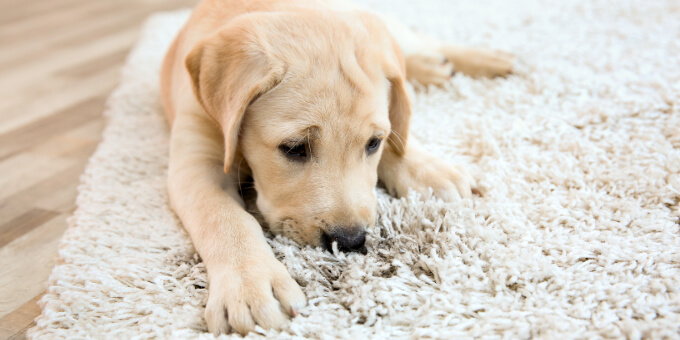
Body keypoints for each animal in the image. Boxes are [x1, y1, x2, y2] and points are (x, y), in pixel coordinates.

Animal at [158, 0, 510, 334]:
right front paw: (249, 285)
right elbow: (224, 218)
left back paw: (489, 59)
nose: (350, 241)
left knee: (413, 50)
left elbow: (399, 128)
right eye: (294, 148)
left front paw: (428, 169)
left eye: (373, 143)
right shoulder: (197, 163)